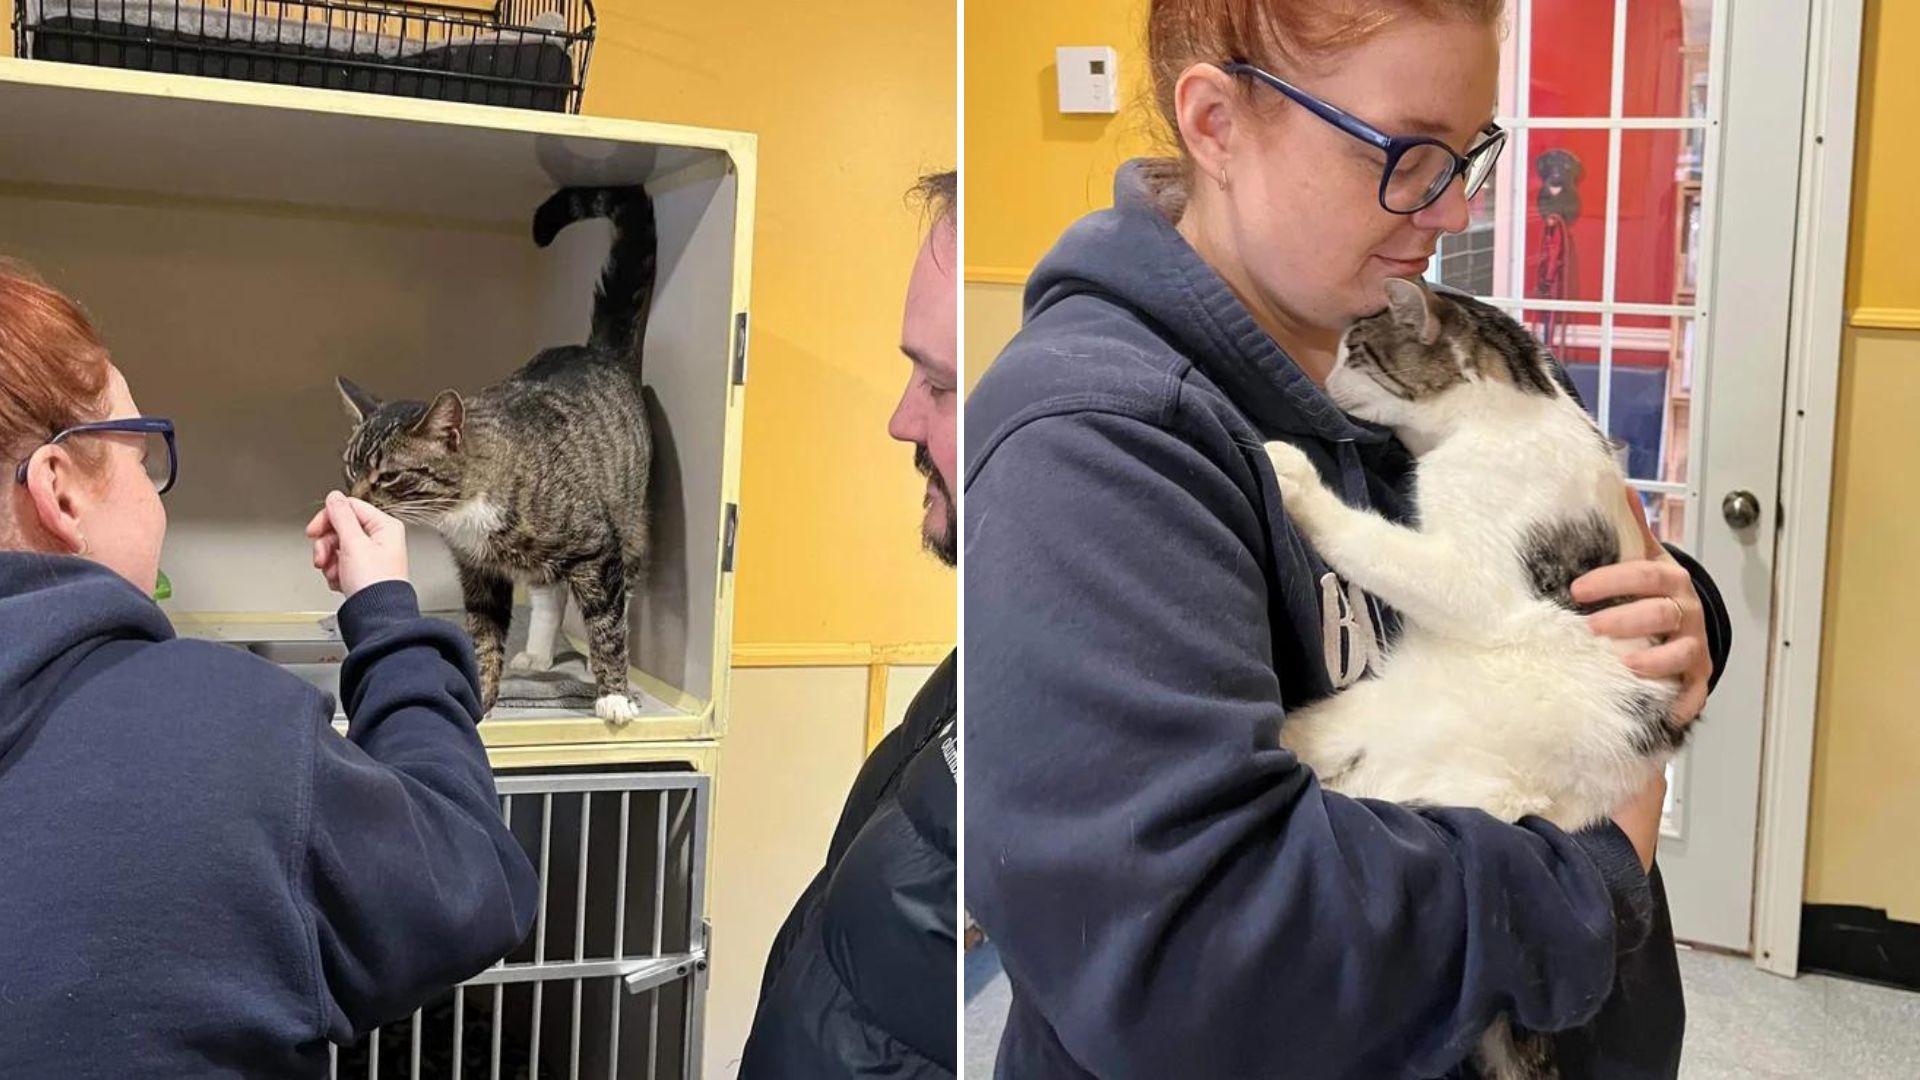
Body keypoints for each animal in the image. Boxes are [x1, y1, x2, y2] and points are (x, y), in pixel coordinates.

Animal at [334, 184, 656, 722]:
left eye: (389, 476)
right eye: (349, 469)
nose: (353, 499)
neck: (464, 512)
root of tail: (597, 350)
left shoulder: (597, 545)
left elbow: (607, 625)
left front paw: (613, 692)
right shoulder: (479, 572)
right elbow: (482, 638)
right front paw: (479, 699)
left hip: (627, 520)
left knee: (617, 596)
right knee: (548, 593)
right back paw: (539, 654)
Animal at [1267, 274, 1689, 1076]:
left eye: (1355, 351)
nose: (1323, 380)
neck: (1511, 406)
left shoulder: (1471, 578)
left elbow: (1376, 542)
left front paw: (1294, 476)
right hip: (1364, 710)